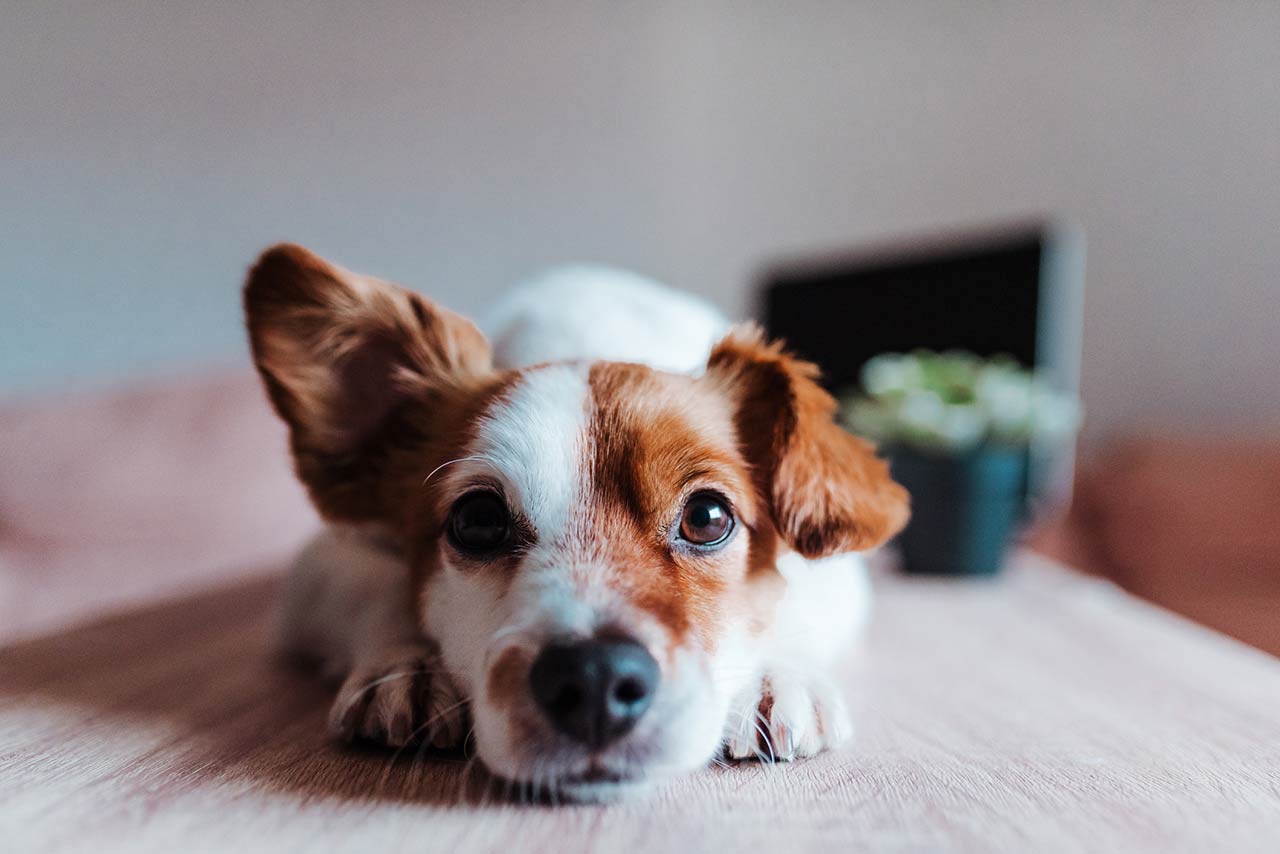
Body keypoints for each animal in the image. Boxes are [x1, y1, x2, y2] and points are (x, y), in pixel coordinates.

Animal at [241, 241, 911, 804]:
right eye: (477, 520)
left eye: (707, 516)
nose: (594, 679)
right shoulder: (323, 561)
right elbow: (377, 589)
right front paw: (407, 666)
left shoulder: (837, 572)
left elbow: (791, 601)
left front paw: (776, 674)